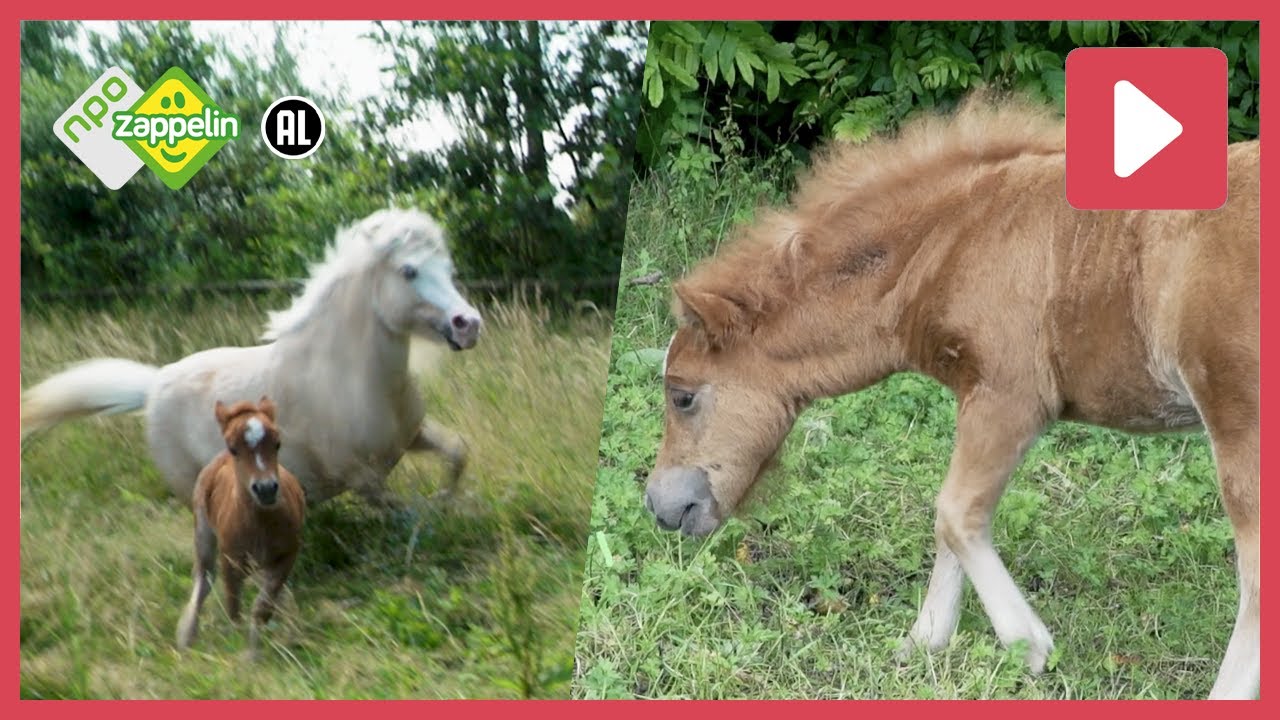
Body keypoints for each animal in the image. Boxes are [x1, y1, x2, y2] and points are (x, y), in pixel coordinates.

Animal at [21, 207, 482, 509]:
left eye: (449, 269)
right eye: (409, 271)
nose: (468, 324)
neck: (351, 376)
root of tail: (153, 385)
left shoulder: (414, 435)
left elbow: (458, 453)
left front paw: (446, 498)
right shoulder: (363, 478)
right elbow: (405, 512)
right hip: (192, 487)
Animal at [177, 396, 305, 658]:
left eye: (277, 443)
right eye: (234, 448)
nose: (266, 489)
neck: (260, 524)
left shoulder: (287, 555)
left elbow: (262, 607)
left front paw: (252, 652)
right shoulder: (230, 560)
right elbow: (233, 608)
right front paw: (238, 647)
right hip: (203, 532)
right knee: (203, 578)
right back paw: (187, 634)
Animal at [642, 95, 1258, 699]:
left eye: (682, 397)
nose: (660, 506)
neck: (953, 241)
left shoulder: (1009, 396)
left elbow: (957, 513)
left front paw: (1025, 644)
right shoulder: (975, 397)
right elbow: (950, 519)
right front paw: (926, 640)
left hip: (1240, 424)